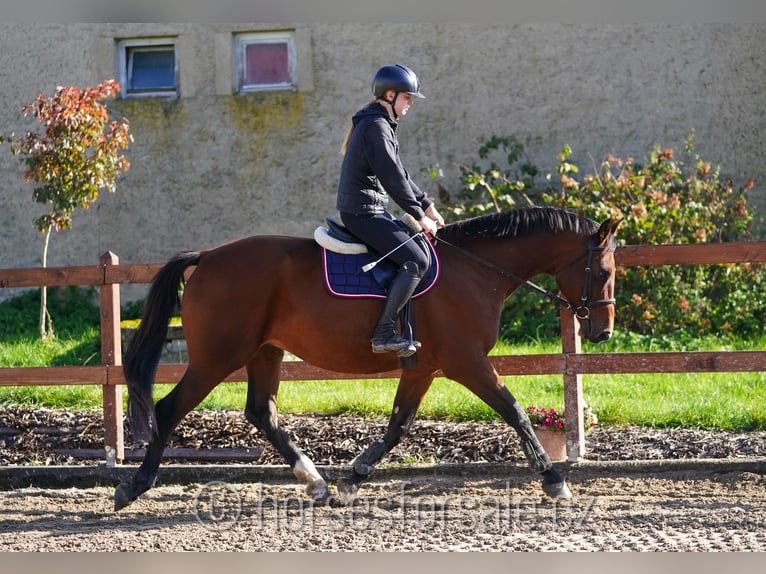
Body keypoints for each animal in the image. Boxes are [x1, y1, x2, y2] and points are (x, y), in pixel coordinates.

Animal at [114, 206, 620, 512]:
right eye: (603, 272)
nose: (602, 332)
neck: (476, 271)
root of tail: (207, 256)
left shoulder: (425, 368)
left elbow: (398, 425)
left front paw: (352, 479)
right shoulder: (466, 362)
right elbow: (515, 411)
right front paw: (554, 480)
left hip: (265, 352)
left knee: (261, 412)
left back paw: (315, 481)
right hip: (218, 357)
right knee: (169, 408)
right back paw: (134, 485)